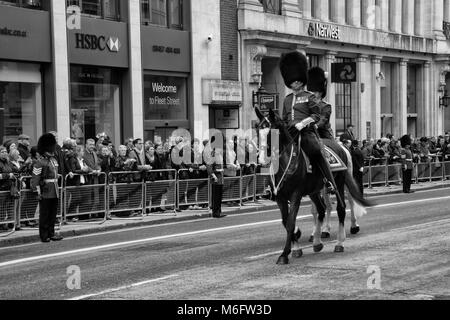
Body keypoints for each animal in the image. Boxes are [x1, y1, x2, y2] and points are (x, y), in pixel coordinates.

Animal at [255, 107, 374, 264]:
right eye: (258, 130)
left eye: (272, 132)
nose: (261, 160)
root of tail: (341, 146)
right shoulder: (281, 197)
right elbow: (287, 221)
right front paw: (296, 245)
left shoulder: (296, 194)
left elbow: (291, 222)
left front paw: (285, 254)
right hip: (315, 190)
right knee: (322, 208)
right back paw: (318, 241)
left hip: (339, 183)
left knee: (342, 207)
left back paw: (341, 240)